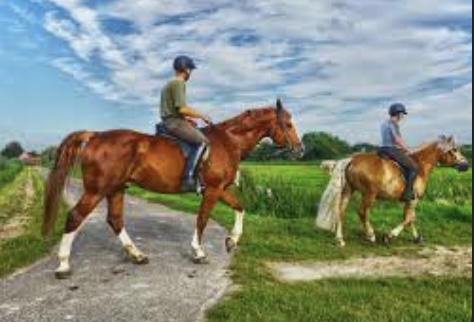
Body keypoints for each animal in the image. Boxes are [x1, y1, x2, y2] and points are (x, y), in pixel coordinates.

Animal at [44, 101, 304, 280]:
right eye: (288, 124)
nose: (300, 150)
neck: (228, 141)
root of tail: (95, 135)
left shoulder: (219, 189)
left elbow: (240, 207)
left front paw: (232, 240)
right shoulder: (212, 190)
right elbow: (202, 219)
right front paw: (198, 252)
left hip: (116, 189)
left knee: (115, 219)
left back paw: (137, 255)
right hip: (97, 190)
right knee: (75, 217)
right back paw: (63, 265)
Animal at [316, 136, 468, 247]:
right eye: (454, 149)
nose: (466, 165)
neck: (421, 166)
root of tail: (352, 159)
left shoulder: (410, 200)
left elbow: (410, 218)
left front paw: (417, 238)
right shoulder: (414, 199)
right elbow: (408, 218)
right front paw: (389, 236)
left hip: (349, 190)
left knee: (341, 211)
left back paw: (340, 239)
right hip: (369, 194)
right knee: (362, 212)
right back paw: (370, 235)